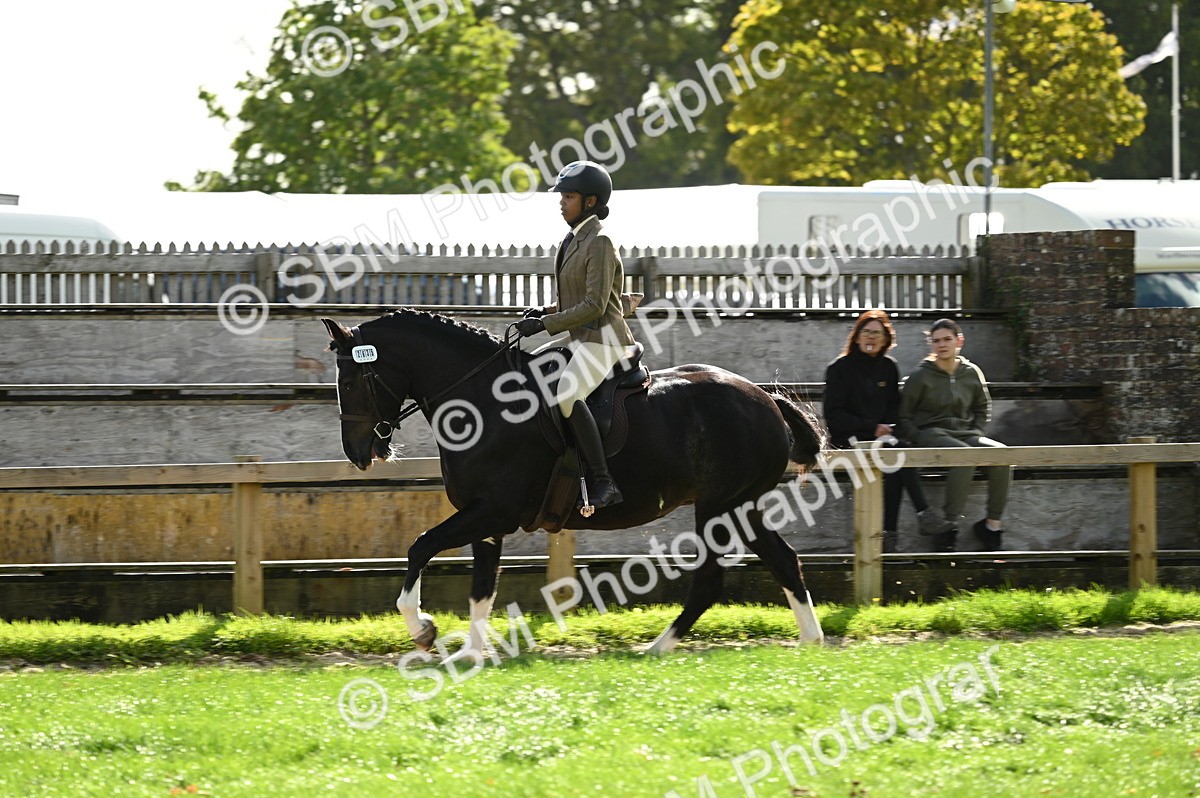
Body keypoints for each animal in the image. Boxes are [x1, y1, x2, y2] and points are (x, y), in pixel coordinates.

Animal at [322, 309, 827, 662]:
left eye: (353, 379)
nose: (358, 453)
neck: (484, 402)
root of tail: (765, 399)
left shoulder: (493, 512)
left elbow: (419, 547)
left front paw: (424, 630)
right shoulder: (486, 520)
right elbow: (482, 588)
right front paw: (468, 654)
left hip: (722, 508)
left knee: (715, 579)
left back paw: (659, 648)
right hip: (739, 507)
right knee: (781, 560)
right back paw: (809, 640)